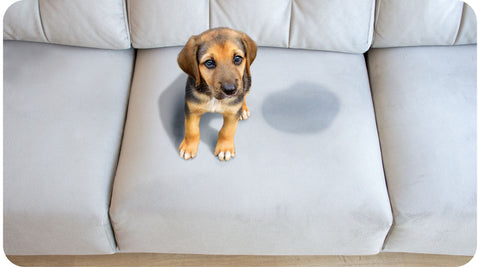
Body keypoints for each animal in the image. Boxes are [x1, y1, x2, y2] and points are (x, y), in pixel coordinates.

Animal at [176, 27, 256, 161]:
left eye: (237, 59)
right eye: (209, 62)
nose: (231, 90)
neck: (213, 97)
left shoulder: (232, 113)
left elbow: (227, 131)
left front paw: (224, 148)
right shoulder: (191, 109)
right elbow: (191, 130)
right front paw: (189, 147)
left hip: (247, 81)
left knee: (244, 94)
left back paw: (243, 109)